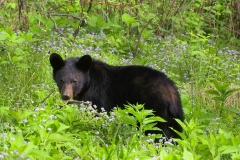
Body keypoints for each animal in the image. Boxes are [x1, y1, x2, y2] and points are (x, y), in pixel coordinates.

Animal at [49, 53, 184, 138]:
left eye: (74, 81)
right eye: (61, 80)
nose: (66, 96)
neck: (89, 81)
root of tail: (171, 92)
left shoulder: (97, 96)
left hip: (155, 111)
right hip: (176, 115)